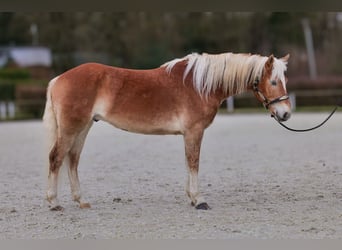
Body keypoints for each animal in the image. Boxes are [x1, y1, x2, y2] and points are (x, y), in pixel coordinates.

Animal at [41, 52, 290, 211]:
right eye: (274, 82)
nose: (286, 113)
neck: (199, 85)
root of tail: (58, 79)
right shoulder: (194, 131)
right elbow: (194, 162)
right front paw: (199, 200)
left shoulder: (188, 134)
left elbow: (188, 163)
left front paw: (191, 198)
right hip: (72, 128)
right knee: (56, 158)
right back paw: (54, 203)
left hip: (83, 128)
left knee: (72, 160)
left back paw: (81, 201)